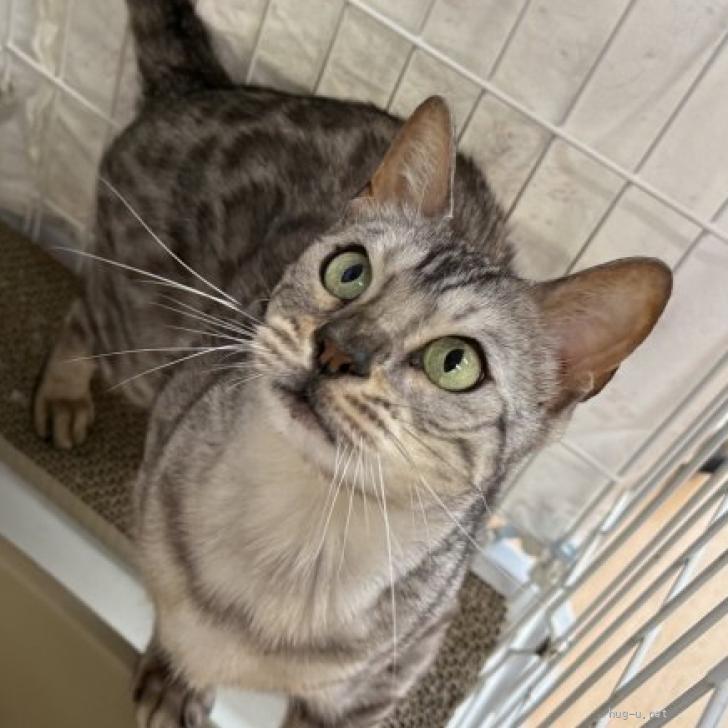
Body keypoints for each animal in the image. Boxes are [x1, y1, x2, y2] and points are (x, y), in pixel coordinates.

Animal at [33, 1, 672, 726]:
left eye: (456, 362)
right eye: (348, 270)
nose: (338, 347)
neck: (299, 542)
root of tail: (205, 85)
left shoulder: (381, 685)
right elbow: (180, 629)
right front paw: (176, 680)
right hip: (141, 342)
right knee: (83, 313)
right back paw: (62, 399)